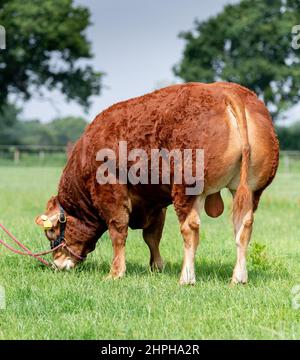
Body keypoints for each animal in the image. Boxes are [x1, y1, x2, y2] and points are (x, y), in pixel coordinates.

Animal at [35, 83, 278, 286]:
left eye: (52, 231)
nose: (56, 264)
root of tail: (228, 92)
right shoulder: (154, 202)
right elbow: (152, 236)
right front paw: (157, 267)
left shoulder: (111, 192)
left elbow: (118, 232)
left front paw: (116, 272)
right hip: (249, 190)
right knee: (243, 226)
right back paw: (239, 277)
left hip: (187, 188)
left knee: (190, 229)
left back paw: (186, 278)